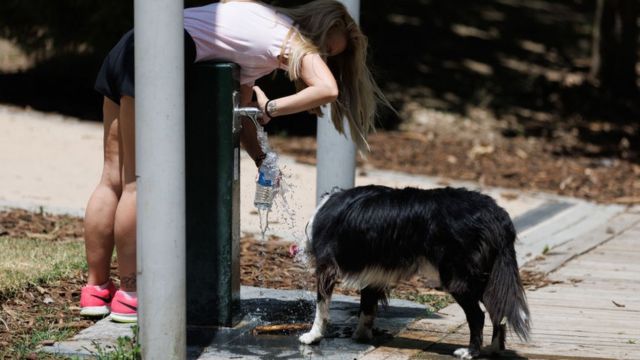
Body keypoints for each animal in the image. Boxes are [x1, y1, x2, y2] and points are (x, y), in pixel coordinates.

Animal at [300, 186, 528, 360]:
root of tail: (496, 214)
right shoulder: (374, 274)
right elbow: (367, 307)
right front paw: (361, 336)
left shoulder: (326, 268)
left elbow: (321, 307)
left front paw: (312, 336)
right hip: (487, 277)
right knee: (498, 309)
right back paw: (494, 349)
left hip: (457, 277)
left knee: (478, 315)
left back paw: (470, 352)